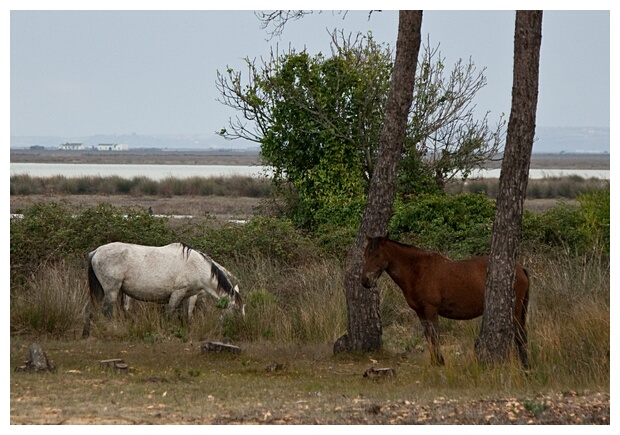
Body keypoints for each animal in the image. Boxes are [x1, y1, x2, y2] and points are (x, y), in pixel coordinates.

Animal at [83, 242, 243, 338]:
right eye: (236, 309)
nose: (240, 326)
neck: (197, 266)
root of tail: (95, 252)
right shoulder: (178, 293)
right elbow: (169, 315)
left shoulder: (187, 297)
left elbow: (185, 317)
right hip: (111, 290)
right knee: (107, 312)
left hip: (101, 291)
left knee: (90, 309)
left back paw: (86, 334)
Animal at [360, 235, 532, 368]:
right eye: (365, 255)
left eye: (377, 255)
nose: (365, 281)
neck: (417, 271)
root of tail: (520, 269)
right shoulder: (420, 312)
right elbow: (428, 336)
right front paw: (435, 361)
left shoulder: (431, 309)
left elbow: (435, 335)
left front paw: (439, 362)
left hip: (516, 311)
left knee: (520, 335)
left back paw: (526, 365)